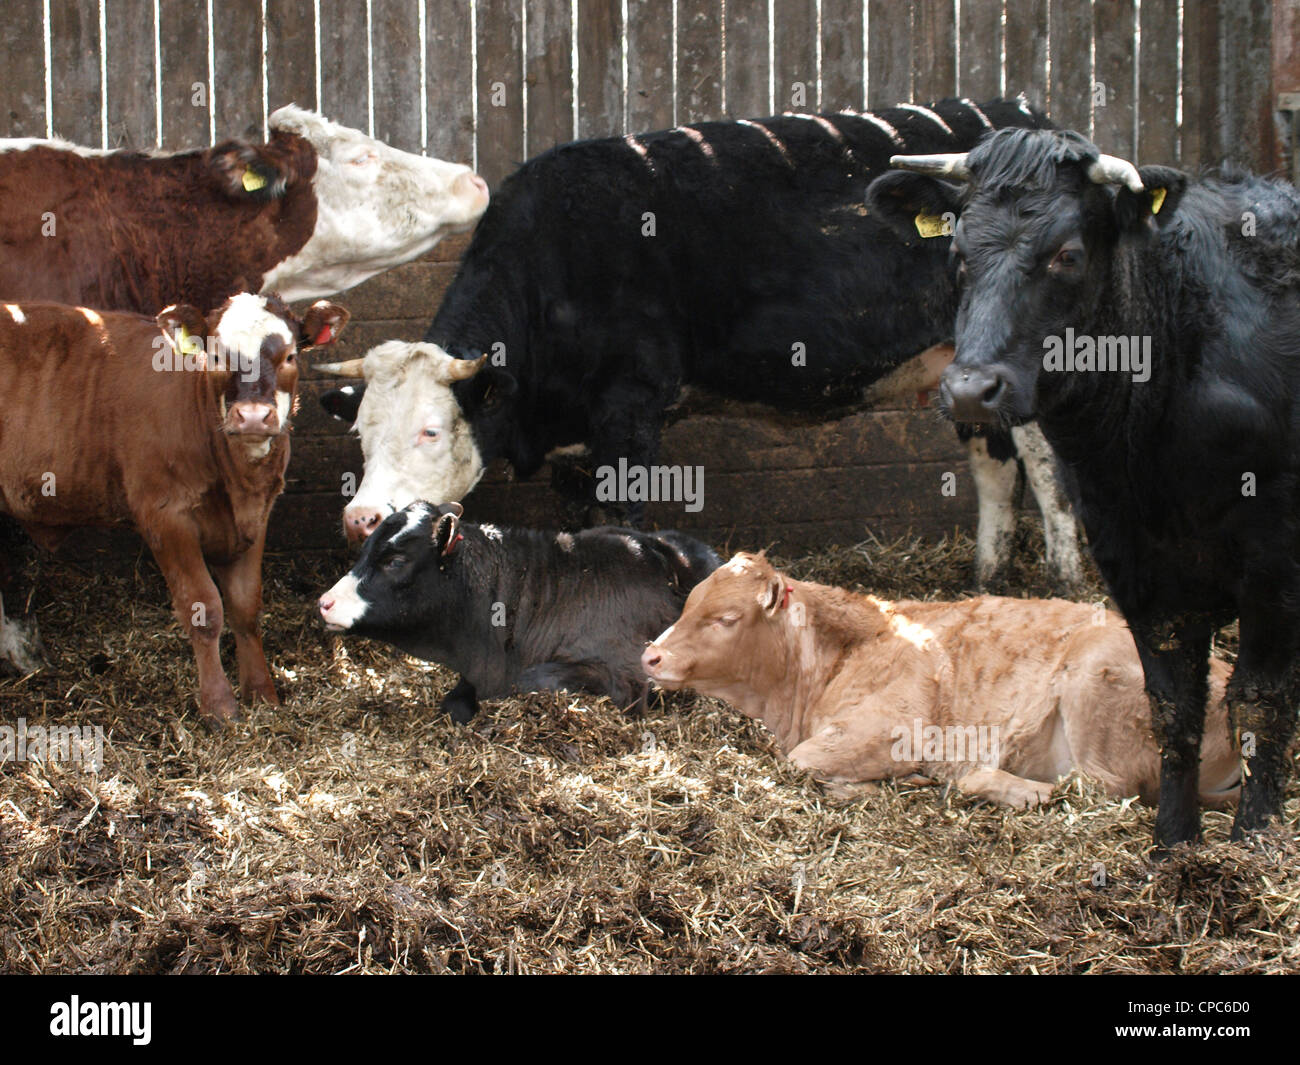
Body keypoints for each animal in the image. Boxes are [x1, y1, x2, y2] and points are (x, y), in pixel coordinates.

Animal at [0, 293, 348, 721]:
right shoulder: (165, 514)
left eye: (290, 356)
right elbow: (204, 609)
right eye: (215, 356)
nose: (252, 417)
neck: (236, 482)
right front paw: (220, 708)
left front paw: (263, 694)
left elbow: (246, 608)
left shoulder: (256, 516)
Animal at [316, 96, 1083, 593]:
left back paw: (1067, 582)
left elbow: (624, 519)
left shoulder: (631, 407)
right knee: (994, 467)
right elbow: (579, 527)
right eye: (361, 432)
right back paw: (988, 581)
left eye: (431, 429)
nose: (360, 517)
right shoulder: (576, 436)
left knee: (1049, 471)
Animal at [317, 501, 720, 722]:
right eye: (366, 549)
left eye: (395, 561)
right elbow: (454, 703)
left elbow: (531, 682)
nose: (324, 602)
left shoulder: (625, 675)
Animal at [642, 553, 1241, 809]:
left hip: (1095, 685)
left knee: (1098, 788)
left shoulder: (890, 728)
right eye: (688, 601)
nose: (650, 656)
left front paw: (894, 782)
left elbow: (802, 764)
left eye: (725, 619)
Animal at [872, 127, 1300, 844]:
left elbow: (1261, 703)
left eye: (1067, 254)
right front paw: (1173, 844)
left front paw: (1253, 842)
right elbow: (1174, 705)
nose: (971, 390)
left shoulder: (1274, 565)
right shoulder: (1134, 562)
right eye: (958, 253)